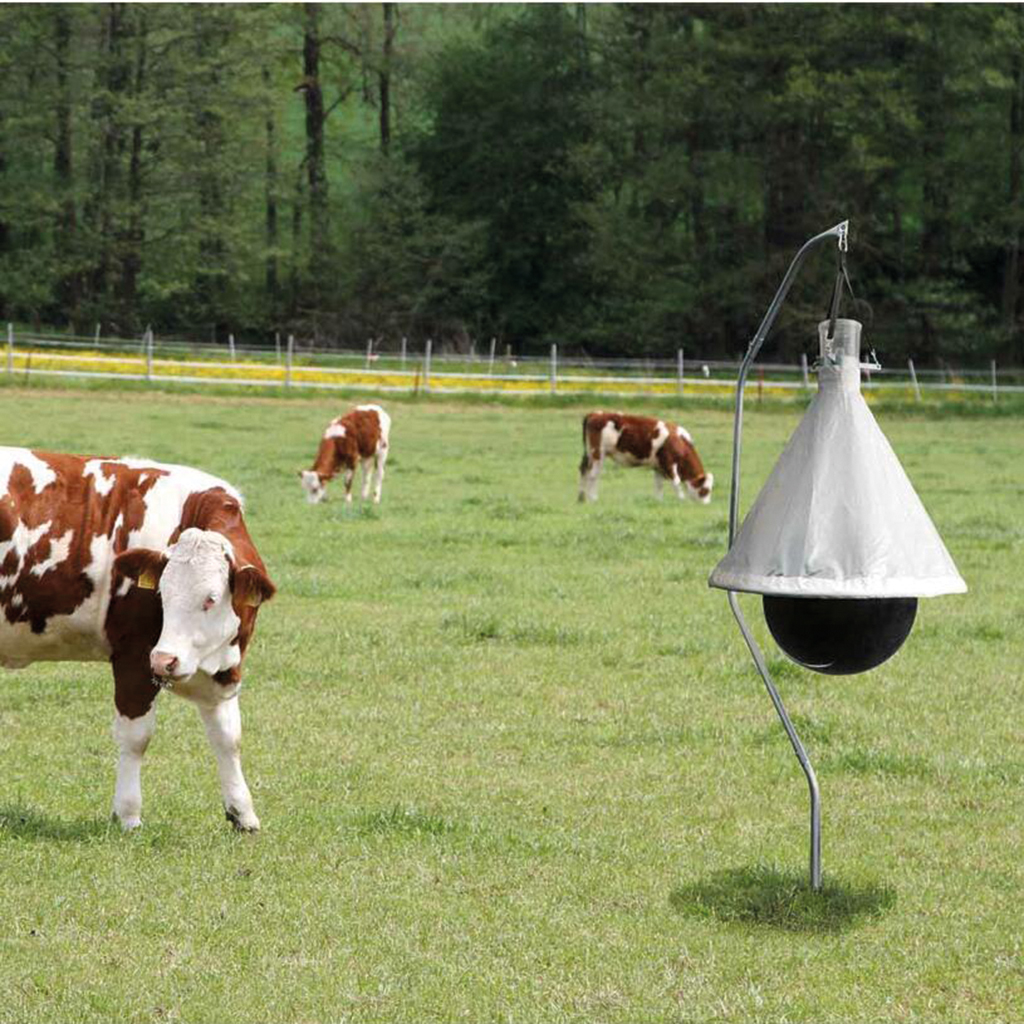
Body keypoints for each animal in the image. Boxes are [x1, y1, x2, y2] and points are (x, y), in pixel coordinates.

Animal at [0, 448, 275, 831]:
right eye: (162, 593)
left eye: (210, 598)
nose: (165, 660)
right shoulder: (135, 656)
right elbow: (136, 737)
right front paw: (128, 814)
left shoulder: (221, 669)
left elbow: (228, 737)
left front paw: (242, 812)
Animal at [578, 411, 714, 504]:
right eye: (705, 490)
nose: (706, 504)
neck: (679, 441)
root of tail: (596, 413)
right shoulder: (668, 463)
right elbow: (676, 481)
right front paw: (681, 500)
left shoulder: (658, 466)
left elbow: (659, 484)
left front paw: (659, 501)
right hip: (597, 454)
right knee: (593, 475)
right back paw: (593, 499)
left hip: (589, 454)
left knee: (584, 471)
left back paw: (581, 498)